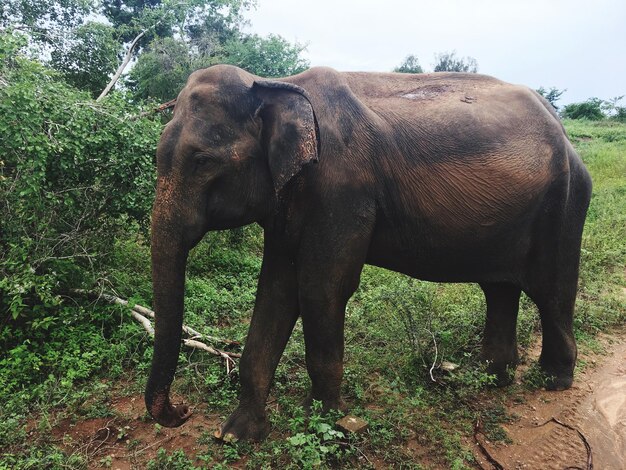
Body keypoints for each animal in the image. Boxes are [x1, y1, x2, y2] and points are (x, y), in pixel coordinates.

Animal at [145, 64, 588, 442]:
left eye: (202, 161)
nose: (181, 411)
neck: (276, 84)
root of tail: (563, 130)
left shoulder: (343, 189)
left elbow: (320, 288)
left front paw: (324, 422)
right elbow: (276, 290)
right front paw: (236, 434)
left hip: (564, 203)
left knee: (552, 290)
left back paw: (553, 380)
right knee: (499, 288)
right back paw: (494, 376)